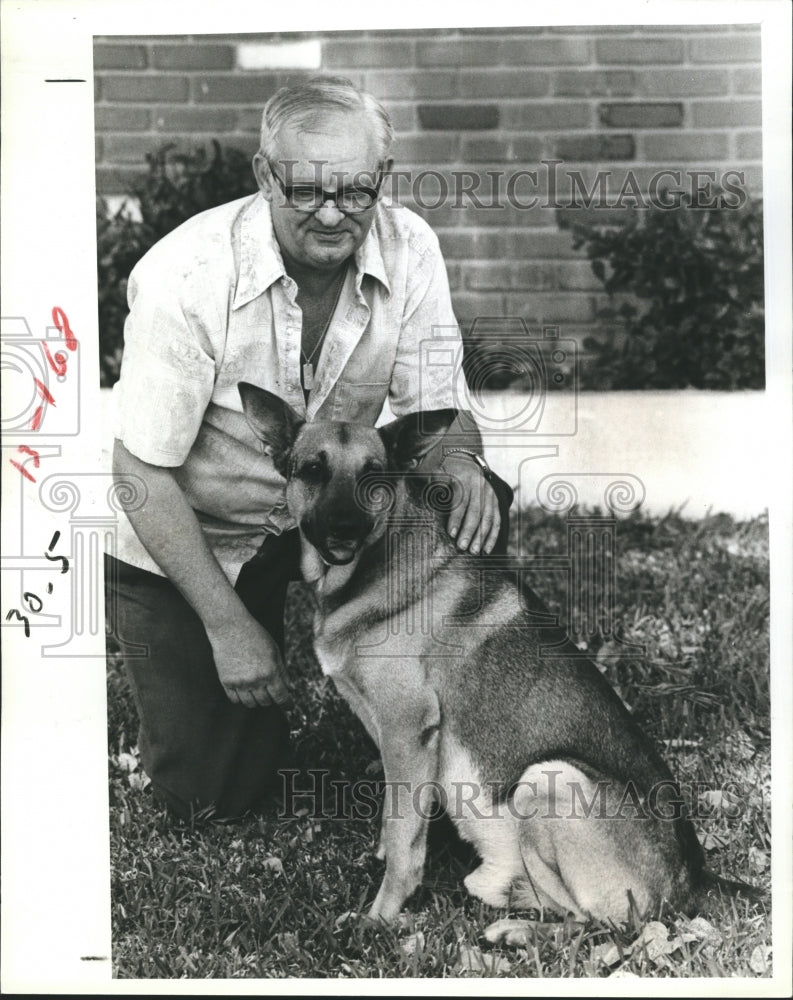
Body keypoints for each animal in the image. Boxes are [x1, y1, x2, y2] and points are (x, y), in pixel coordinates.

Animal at [238, 380, 756, 920]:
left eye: (373, 476)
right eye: (312, 470)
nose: (343, 529)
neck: (372, 566)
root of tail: (694, 878)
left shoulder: (408, 726)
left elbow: (404, 836)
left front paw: (381, 915)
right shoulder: (388, 731)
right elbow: (395, 816)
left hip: (552, 777)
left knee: (584, 920)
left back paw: (511, 923)